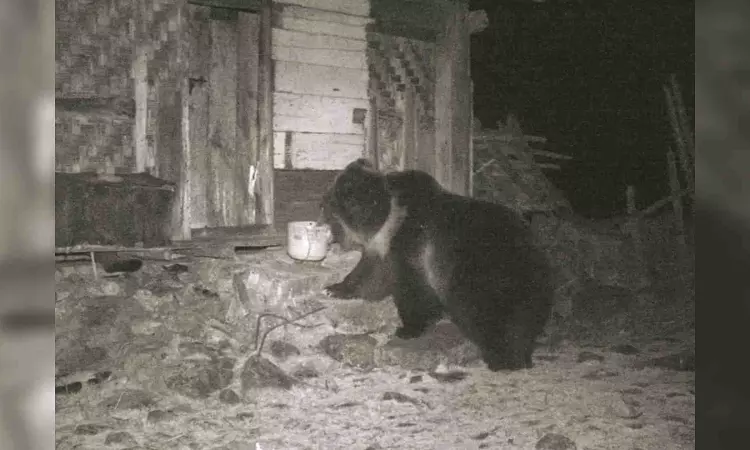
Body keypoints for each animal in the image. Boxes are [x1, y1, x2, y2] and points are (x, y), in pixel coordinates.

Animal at [322, 158, 555, 371]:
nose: (323, 202)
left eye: (335, 196)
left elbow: (412, 289)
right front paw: (334, 288)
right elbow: (370, 276)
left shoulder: (411, 243)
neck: (391, 219)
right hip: (532, 282)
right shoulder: (384, 250)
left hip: (482, 272)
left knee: (482, 312)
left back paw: (501, 358)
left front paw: (408, 329)